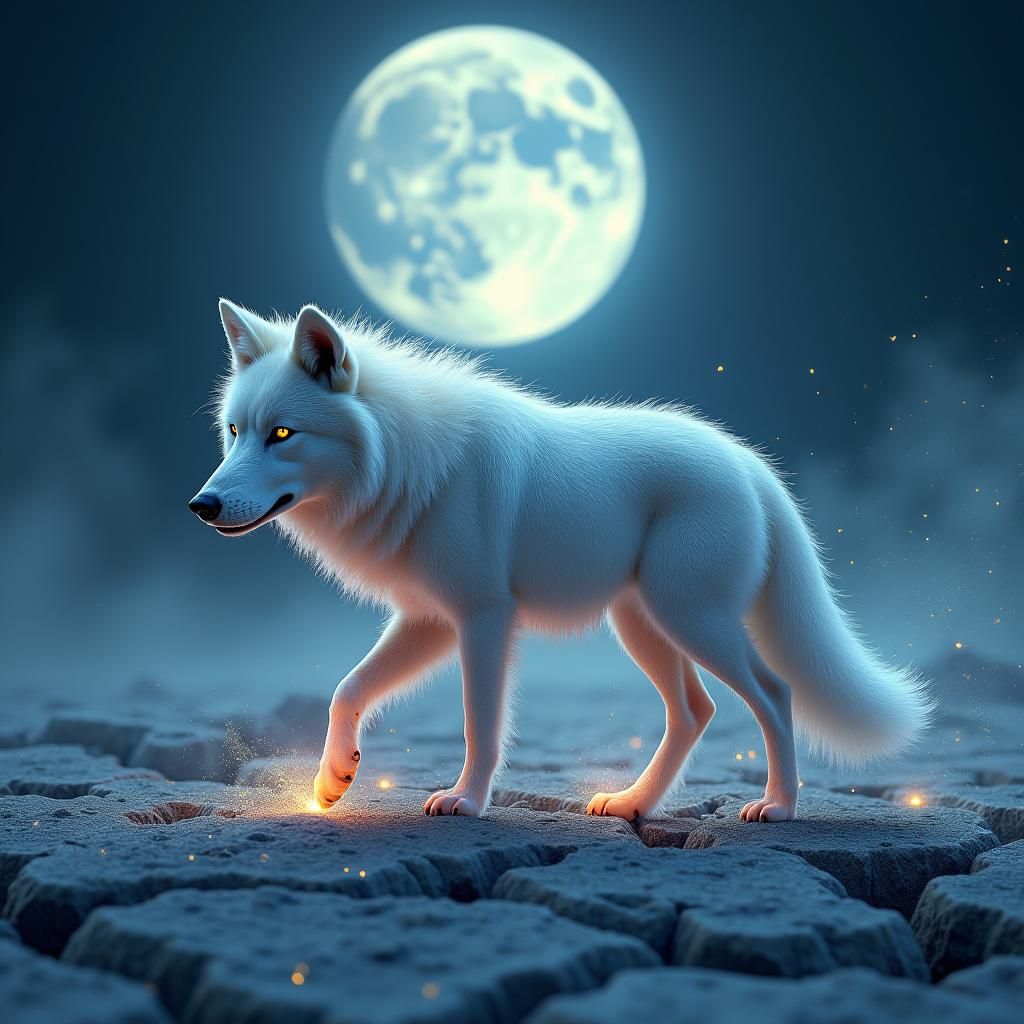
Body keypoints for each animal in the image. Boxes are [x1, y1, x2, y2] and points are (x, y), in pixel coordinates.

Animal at [190, 300, 932, 822]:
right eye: (234, 431)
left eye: (282, 433)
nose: (202, 505)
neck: (410, 461)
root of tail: (751, 464)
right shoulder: (429, 620)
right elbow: (347, 688)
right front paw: (332, 780)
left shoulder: (485, 619)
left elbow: (481, 727)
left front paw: (465, 802)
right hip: (644, 626)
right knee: (696, 711)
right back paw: (632, 805)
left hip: (690, 619)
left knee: (773, 693)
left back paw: (778, 807)